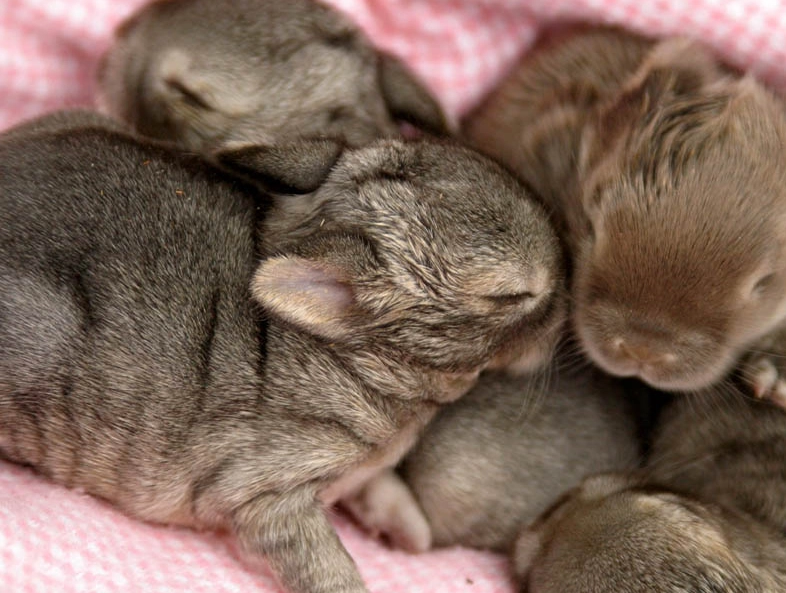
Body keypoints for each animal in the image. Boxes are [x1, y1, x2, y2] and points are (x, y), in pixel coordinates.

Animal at [0, 110, 564, 593]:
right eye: (511, 295)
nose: (563, 310)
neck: (358, 355)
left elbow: (380, 489)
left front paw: (410, 534)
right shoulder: (266, 494)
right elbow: (326, 567)